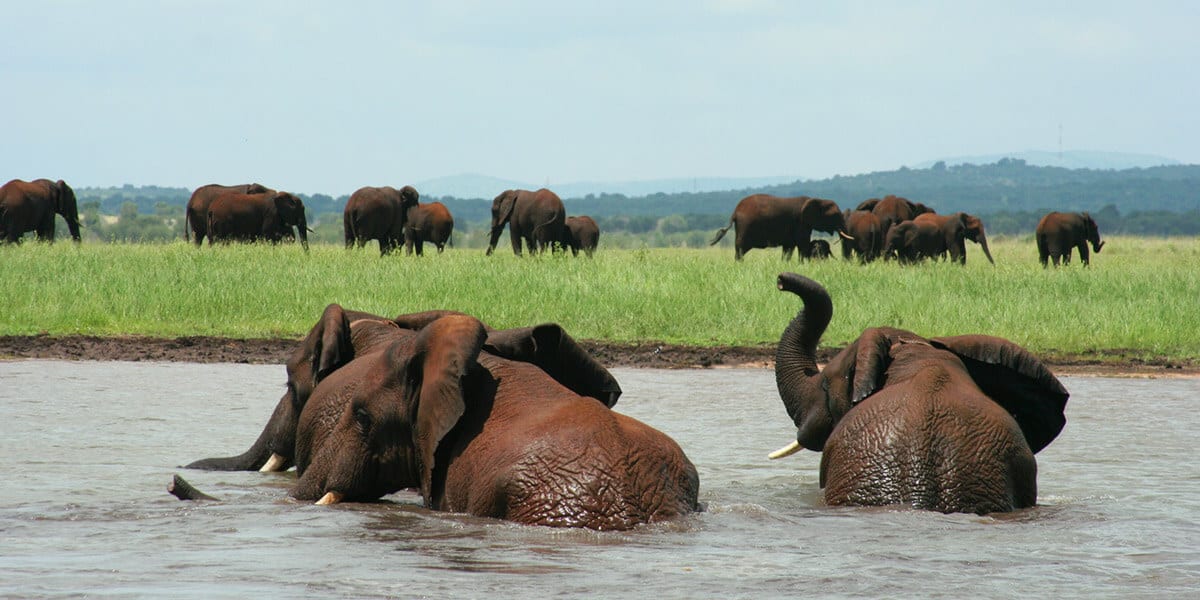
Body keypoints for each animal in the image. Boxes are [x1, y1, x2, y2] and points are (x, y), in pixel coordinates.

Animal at [710, 194, 851, 260]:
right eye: (835, 215)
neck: (817, 200)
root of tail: (735, 212)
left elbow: (789, 248)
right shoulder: (801, 223)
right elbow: (803, 244)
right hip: (745, 227)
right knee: (740, 249)